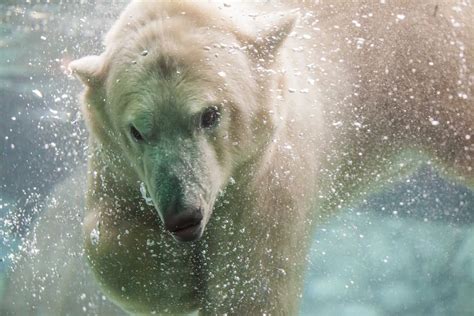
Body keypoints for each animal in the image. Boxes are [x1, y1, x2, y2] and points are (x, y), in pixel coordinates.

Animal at [68, 1, 472, 314]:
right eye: (137, 130)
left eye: (209, 115)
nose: (184, 216)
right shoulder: (117, 166)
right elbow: (107, 231)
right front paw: (179, 275)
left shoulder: (267, 180)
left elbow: (250, 285)